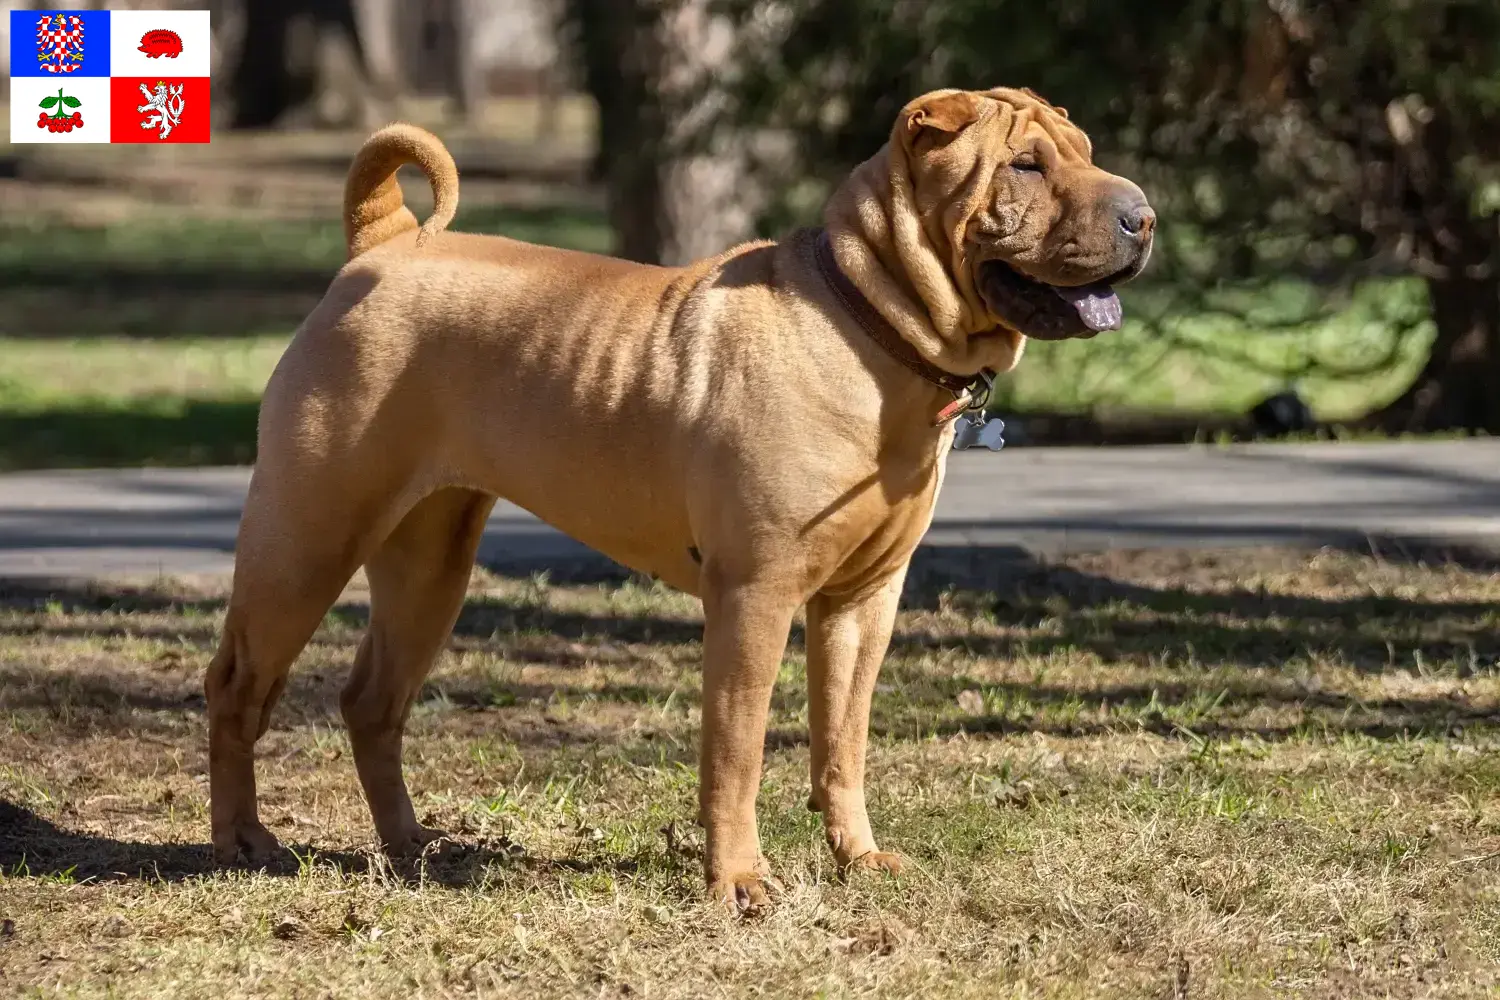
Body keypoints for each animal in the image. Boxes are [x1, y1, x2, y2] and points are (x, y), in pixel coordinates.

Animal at [205, 88, 1152, 905]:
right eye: (1025, 166)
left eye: (1086, 153)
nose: (1143, 217)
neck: (872, 329)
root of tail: (383, 243)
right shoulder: (755, 596)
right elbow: (736, 751)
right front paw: (739, 881)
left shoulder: (863, 601)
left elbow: (841, 745)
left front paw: (858, 859)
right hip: (307, 541)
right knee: (237, 686)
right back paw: (242, 840)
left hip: (431, 564)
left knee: (372, 702)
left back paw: (410, 845)